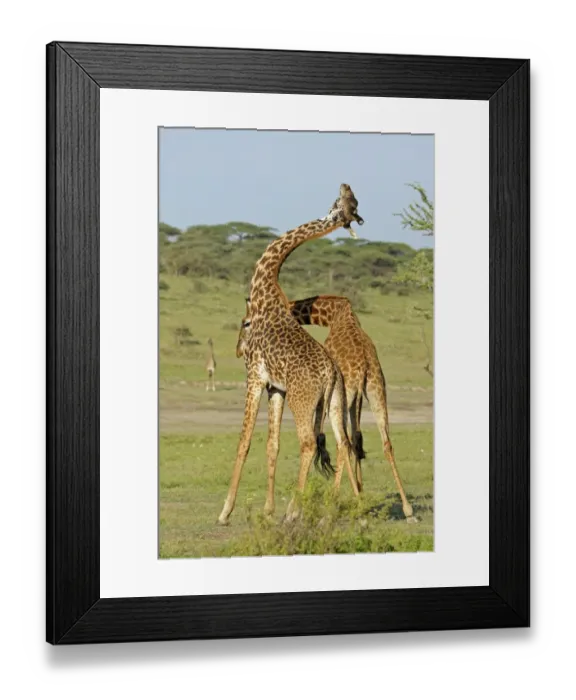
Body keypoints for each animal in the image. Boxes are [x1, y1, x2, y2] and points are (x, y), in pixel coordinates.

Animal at [218, 205, 360, 526]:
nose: (237, 351)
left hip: (302, 401)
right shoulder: (276, 388)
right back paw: (348, 509)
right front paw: (267, 510)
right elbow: (273, 445)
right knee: (343, 442)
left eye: (245, 323)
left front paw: (225, 511)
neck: (266, 290)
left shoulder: (255, 378)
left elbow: (244, 441)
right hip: (334, 401)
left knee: (308, 443)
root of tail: (329, 373)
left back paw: (294, 510)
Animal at [236, 295, 417, 522]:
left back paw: (328, 510)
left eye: (246, 322)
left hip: (344, 397)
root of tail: (364, 367)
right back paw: (406, 509)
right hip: (376, 392)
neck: (334, 314)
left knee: (342, 444)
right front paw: (360, 495)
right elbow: (357, 441)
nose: (239, 350)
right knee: (382, 443)